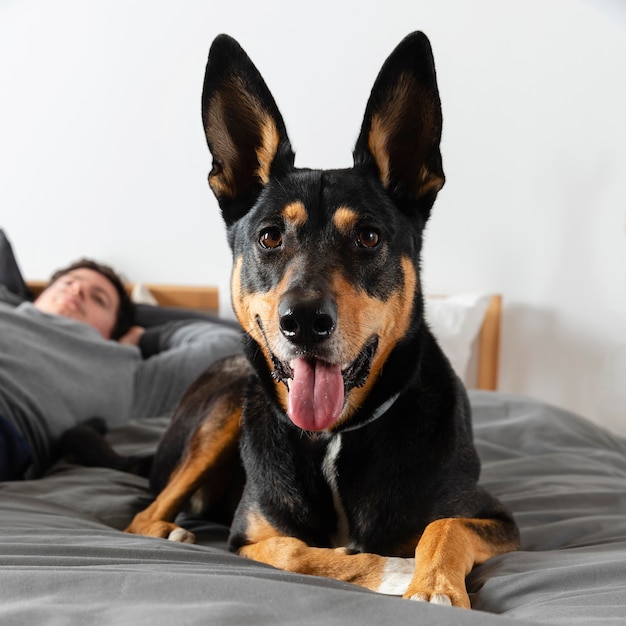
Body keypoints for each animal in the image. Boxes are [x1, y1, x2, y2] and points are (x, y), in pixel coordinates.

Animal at [125, 31, 516, 608]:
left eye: (369, 237)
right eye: (269, 237)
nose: (304, 322)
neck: (334, 435)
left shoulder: (496, 517)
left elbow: (443, 527)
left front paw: (433, 587)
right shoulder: (248, 537)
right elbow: (296, 551)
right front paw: (393, 570)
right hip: (226, 406)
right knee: (142, 515)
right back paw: (169, 529)